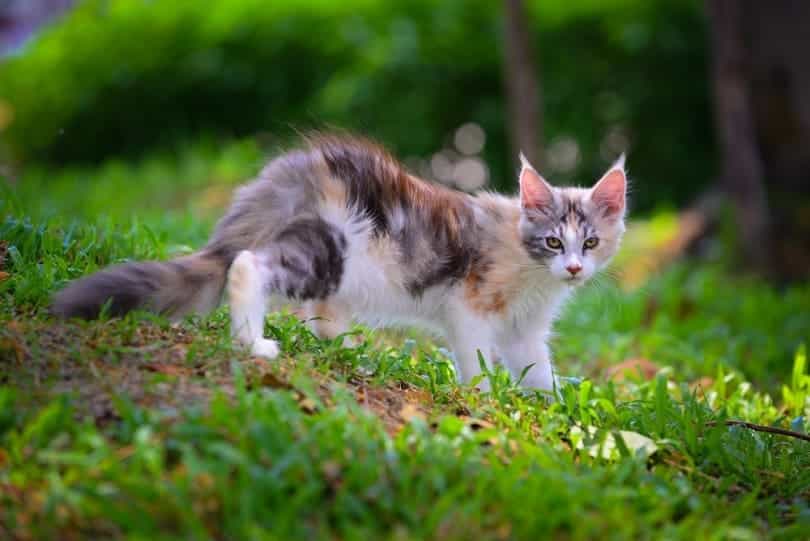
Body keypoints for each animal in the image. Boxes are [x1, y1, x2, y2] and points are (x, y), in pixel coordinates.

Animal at [52, 133, 624, 390]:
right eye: (553, 243)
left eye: (590, 243)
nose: (574, 269)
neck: (530, 269)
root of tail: (295, 171)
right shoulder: (470, 305)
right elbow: (477, 361)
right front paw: (482, 397)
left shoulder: (526, 331)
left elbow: (539, 373)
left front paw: (550, 408)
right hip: (329, 250)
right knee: (248, 265)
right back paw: (253, 343)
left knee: (322, 318)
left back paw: (354, 355)